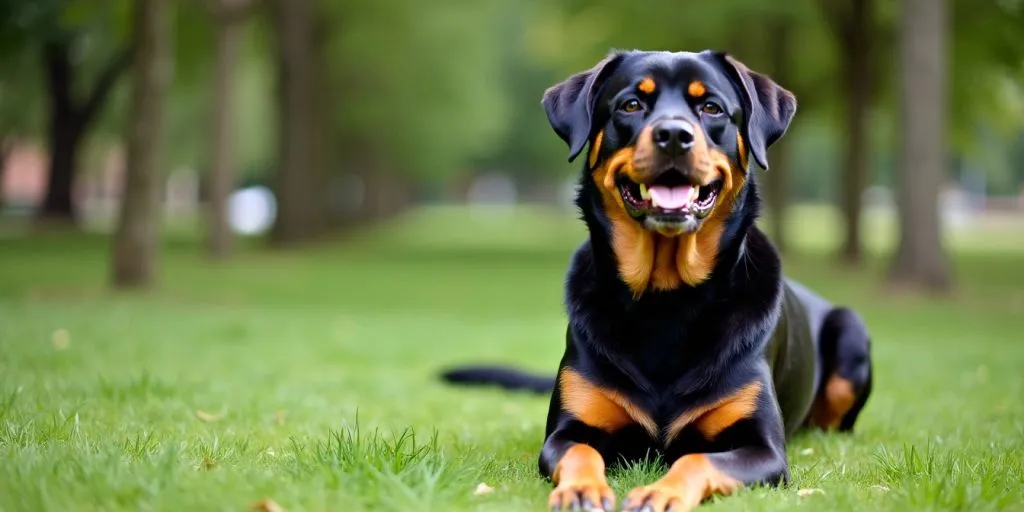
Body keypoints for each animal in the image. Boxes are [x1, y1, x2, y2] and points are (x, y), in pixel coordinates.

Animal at [440, 49, 872, 512]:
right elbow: (579, 451)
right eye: (631, 104)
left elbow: (697, 458)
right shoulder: (568, 429)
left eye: (711, 107)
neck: (667, 300)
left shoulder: (763, 447)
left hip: (851, 333)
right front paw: (581, 489)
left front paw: (661, 493)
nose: (673, 135)